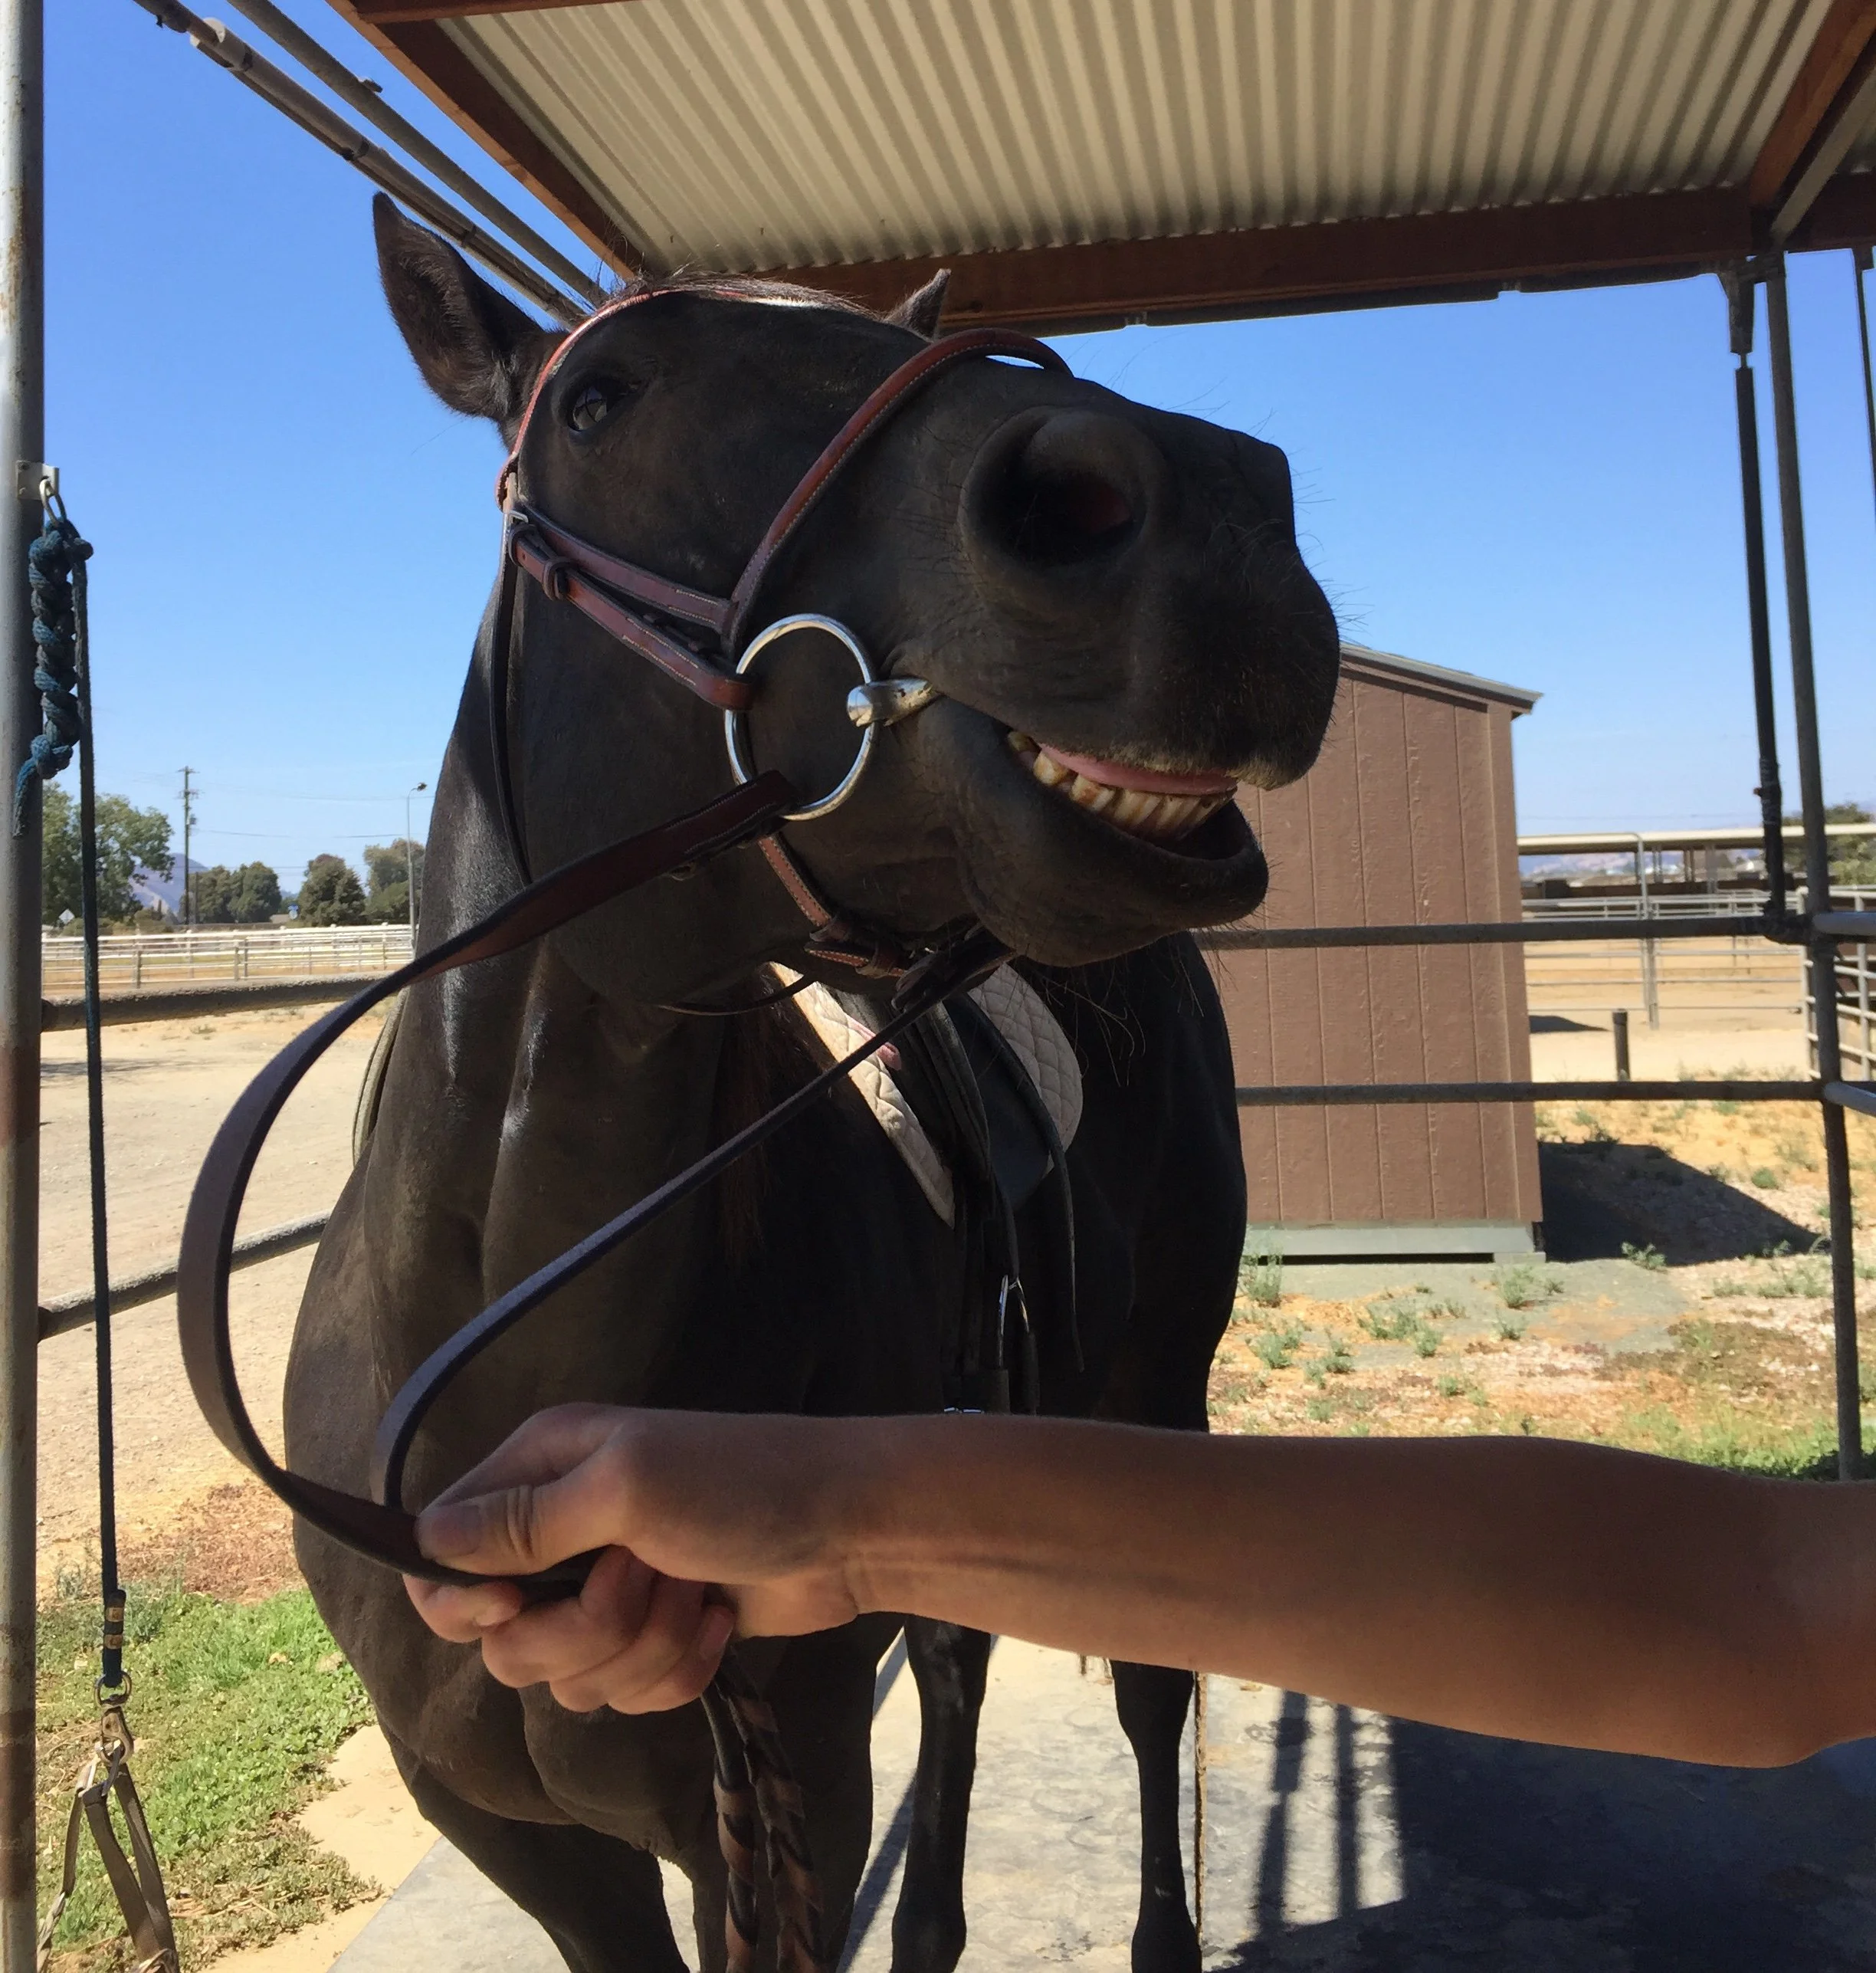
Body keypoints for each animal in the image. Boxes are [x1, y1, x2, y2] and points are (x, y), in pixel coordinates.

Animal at [283, 195, 1339, 1973]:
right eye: (596, 403)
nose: (1206, 511)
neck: (499, 1389)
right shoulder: (526, 1837)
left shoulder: (786, 1801)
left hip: (1152, 1387)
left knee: (1146, 1692)